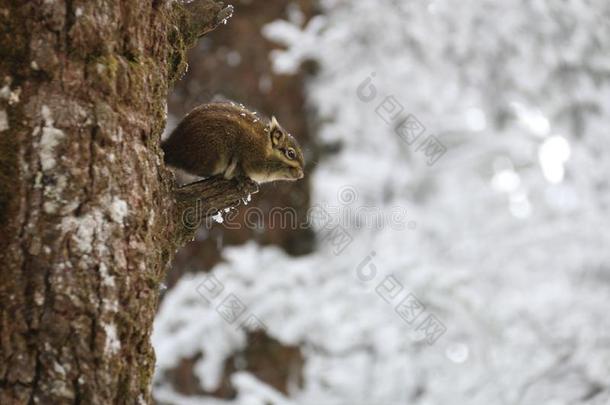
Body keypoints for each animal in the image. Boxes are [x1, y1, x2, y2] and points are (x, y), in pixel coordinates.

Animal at [162, 101, 304, 183]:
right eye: (291, 154)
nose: (301, 174)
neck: (265, 146)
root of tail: (173, 146)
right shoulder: (250, 159)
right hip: (213, 155)